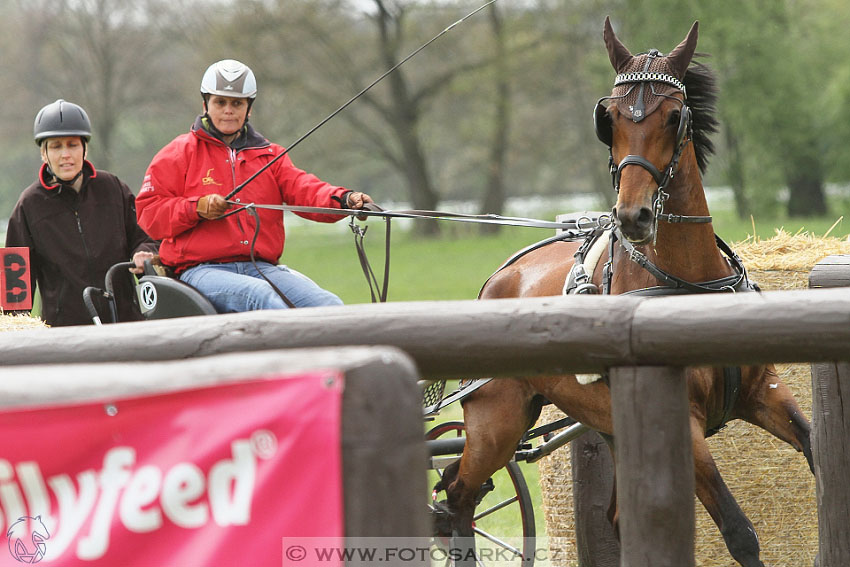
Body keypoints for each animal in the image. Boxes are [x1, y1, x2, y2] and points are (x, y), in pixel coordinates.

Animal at [438, 16, 816, 567]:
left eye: (675, 116)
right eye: (610, 118)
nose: (633, 216)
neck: (688, 283)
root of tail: (498, 279)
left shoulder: (761, 391)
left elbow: (814, 447)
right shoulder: (683, 427)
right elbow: (740, 532)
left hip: (605, 423)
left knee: (606, 515)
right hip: (496, 421)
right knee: (459, 495)